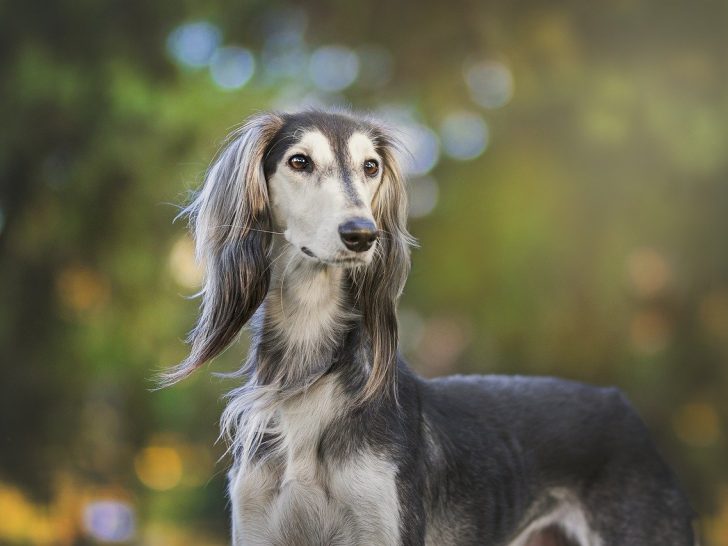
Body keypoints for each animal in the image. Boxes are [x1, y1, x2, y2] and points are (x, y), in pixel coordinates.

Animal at [164, 108, 692, 540]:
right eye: (299, 161)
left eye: (370, 166)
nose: (362, 235)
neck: (311, 377)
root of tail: (622, 404)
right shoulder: (259, 524)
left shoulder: (384, 523)